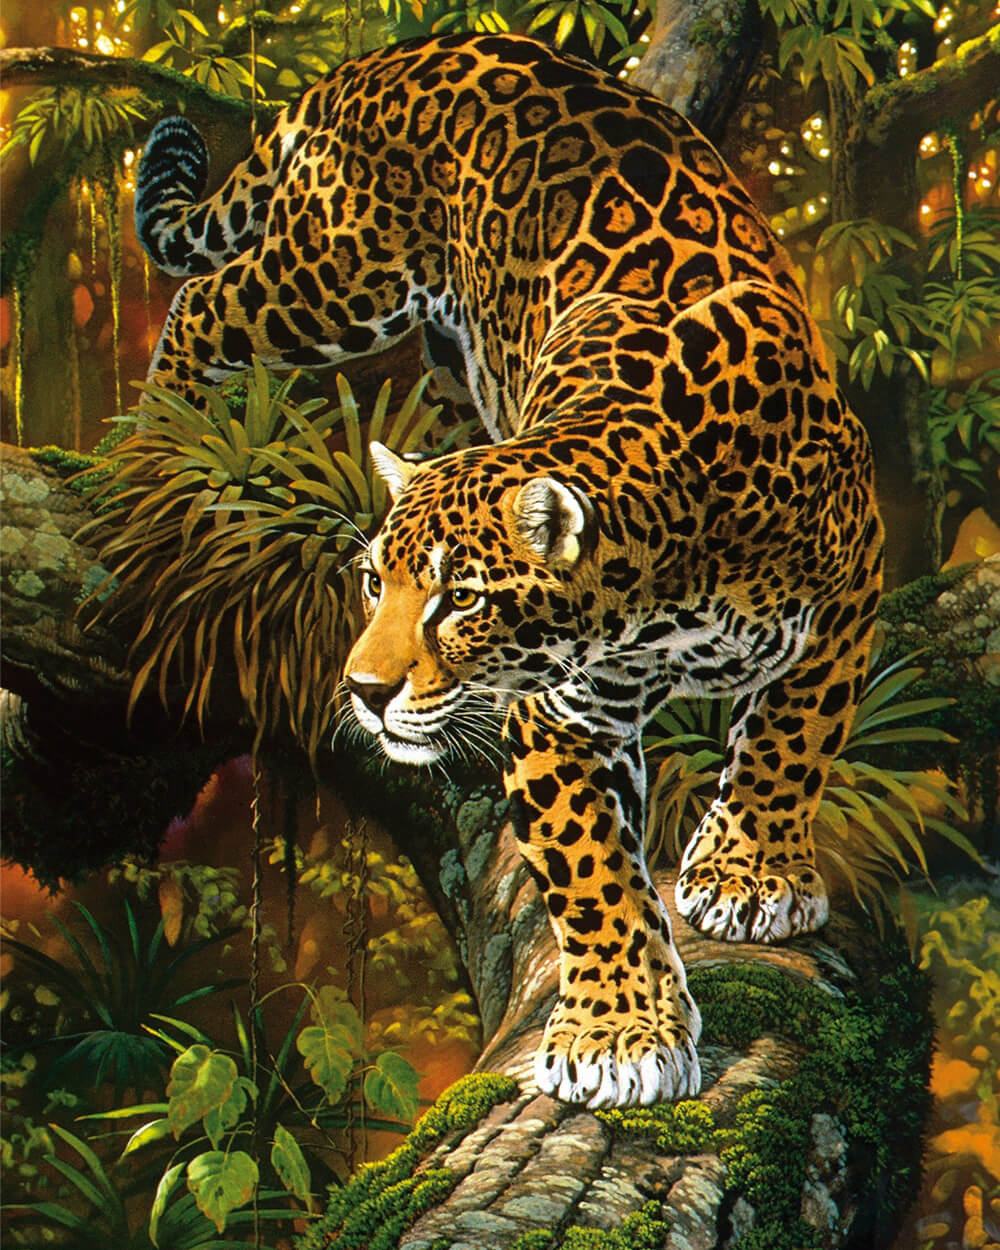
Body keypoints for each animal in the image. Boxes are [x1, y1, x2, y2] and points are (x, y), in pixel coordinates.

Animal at [135, 32, 884, 1109]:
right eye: (376, 585)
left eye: (460, 599)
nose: (362, 691)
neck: (666, 568)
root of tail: (399, 53)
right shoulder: (559, 710)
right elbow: (591, 870)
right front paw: (618, 1032)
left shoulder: (849, 592)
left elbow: (792, 737)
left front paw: (750, 875)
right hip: (341, 270)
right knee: (204, 300)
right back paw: (156, 439)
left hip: (421, 327)